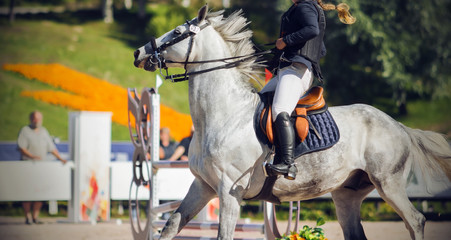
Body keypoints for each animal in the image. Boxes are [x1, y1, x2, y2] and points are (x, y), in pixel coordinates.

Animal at [134, 5, 451, 240]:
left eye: (177, 32)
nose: (139, 52)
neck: (223, 115)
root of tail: (399, 127)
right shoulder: (203, 186)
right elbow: (170, 226)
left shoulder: (229, 191)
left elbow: (224, 234)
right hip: (346, 194)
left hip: (389, 183)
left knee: (415, 220)